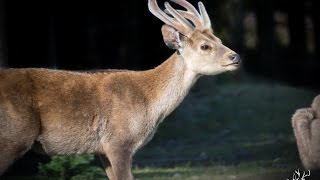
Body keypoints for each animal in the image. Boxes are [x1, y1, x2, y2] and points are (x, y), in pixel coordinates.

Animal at [0, 0, 240, 180]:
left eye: (219, 39)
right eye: (204, 46)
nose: (235, 56)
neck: (149, 104)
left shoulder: (102, 149)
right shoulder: (118, 141)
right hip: (13, 135)